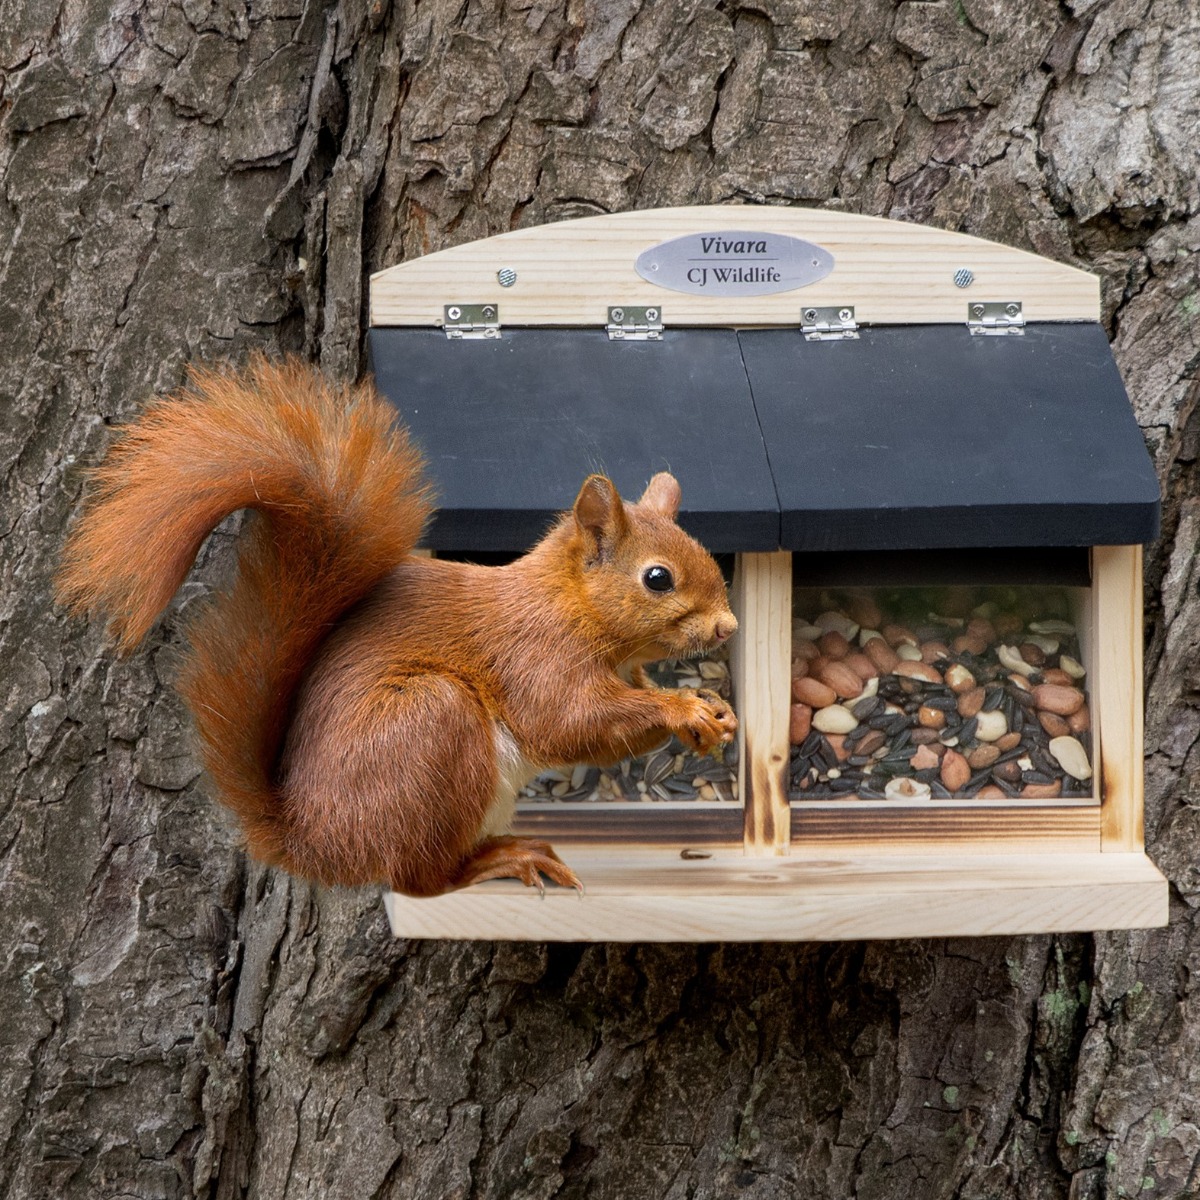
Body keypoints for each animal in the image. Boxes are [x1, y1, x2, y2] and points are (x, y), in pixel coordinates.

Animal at [60, 357, 744, 902]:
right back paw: (500, 860)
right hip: (431, 726)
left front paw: (709, 707)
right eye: (657, 578)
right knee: (419, 879)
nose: (728, 626)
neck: (570, 605)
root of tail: (314, 843)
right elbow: (569, 721)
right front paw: (682, 709)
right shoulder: (534, 654)